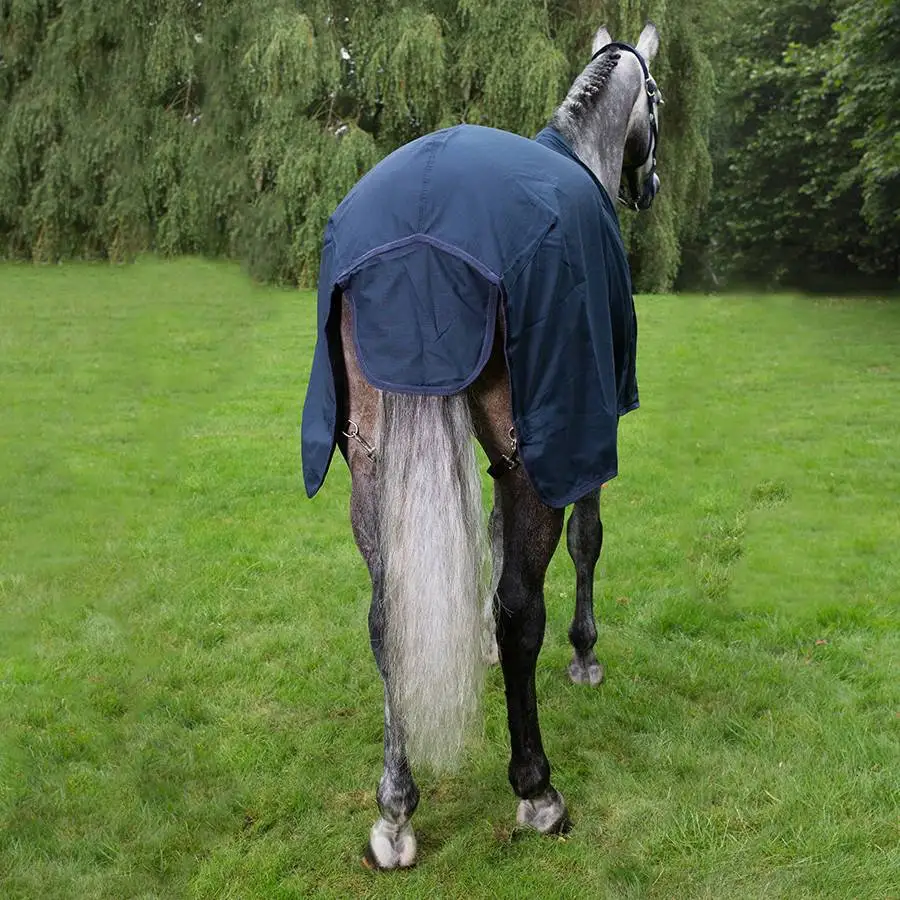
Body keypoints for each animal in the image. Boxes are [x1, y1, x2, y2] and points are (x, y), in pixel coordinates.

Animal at [301, 23, 661, 868]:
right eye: (657, 101)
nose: (651, 185)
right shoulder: (580, 436)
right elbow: (586, 543)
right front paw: (585, 656)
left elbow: (490, 541)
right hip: (535, 448)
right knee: (519, 607)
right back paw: (537, 791)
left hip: (372, 460)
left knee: (386, 616)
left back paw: (395, 813)